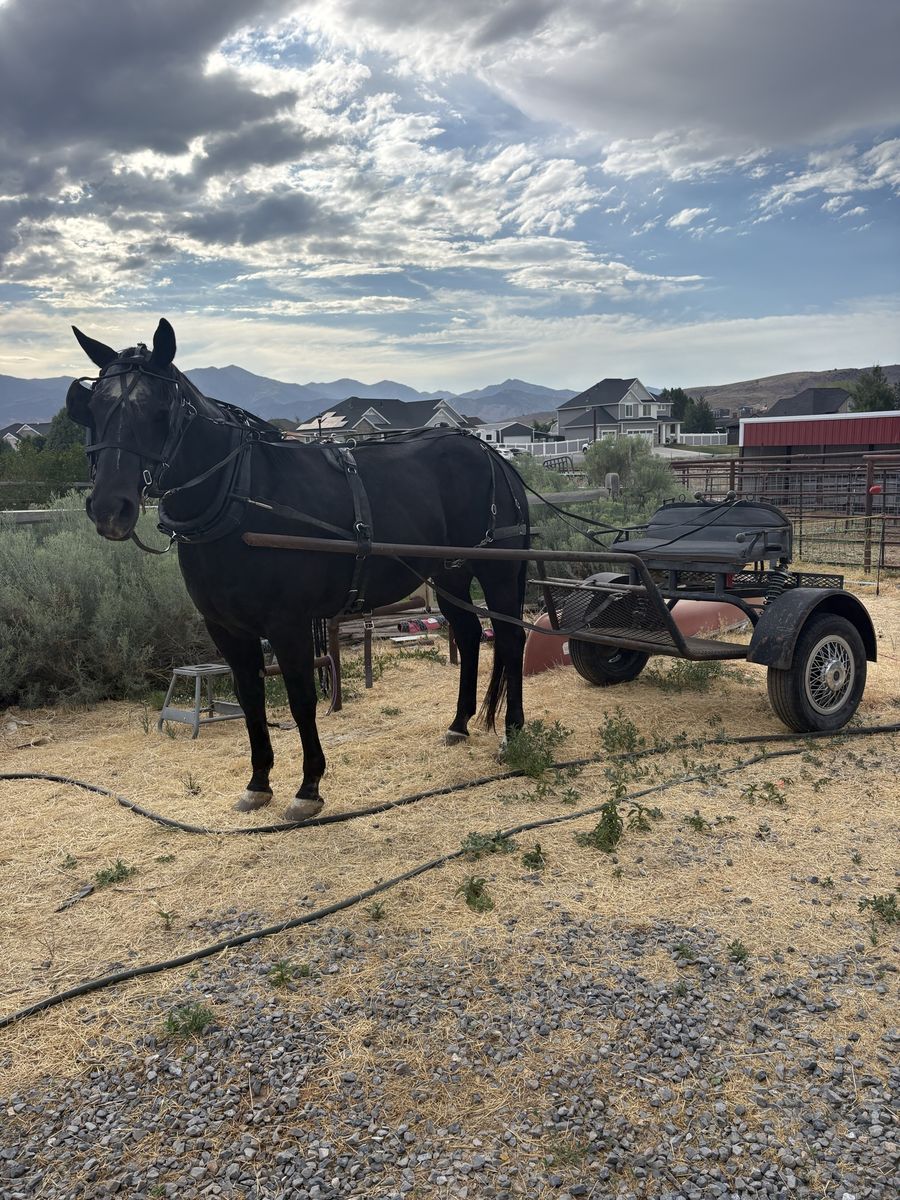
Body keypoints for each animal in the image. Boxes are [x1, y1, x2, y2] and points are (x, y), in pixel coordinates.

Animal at [67, 319, 530, 821]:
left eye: (158, 409)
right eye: (93, 408)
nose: (110, 508)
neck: (241, 497)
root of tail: (494, 457)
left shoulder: (288, 623)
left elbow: (302, 698)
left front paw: (308, 787)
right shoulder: (226, 628)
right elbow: (250, 697)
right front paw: (258, 783)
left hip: (498, 570)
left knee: (510, 638)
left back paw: (513, 732)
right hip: (448, 572)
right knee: (468, 635)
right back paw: (460, 723)